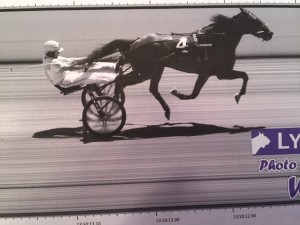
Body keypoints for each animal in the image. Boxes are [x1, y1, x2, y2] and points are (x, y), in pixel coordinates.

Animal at [74, 6, 274, 119]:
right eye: (254, 20)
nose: (270, 32)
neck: (216, 40)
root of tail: (136, 42)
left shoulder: (207, 73)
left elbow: (196, 93)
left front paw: (179, 93)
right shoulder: (220, 72)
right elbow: (244, 76)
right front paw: (238, 95)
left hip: (155, 68)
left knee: (148, 88)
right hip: (146, 70)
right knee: (122, 82)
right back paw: (112, 107)